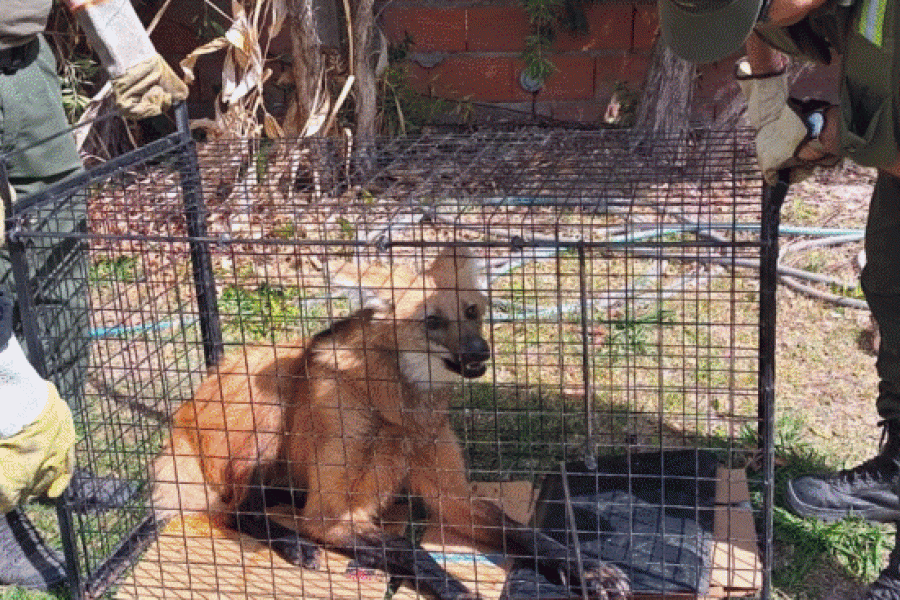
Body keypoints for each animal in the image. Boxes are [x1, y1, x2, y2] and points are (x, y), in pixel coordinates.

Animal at [153, 246, 624, 596]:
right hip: (269, 397)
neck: (401, 410)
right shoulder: (330, 516)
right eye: (432, 321)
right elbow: (408, 548)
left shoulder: (454, 498)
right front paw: (455, 590)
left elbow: (530, 536)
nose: (480, 352)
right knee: (233, 509)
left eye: (472, 311)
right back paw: (294, 544)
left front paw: (587, 570)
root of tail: (180, 420)